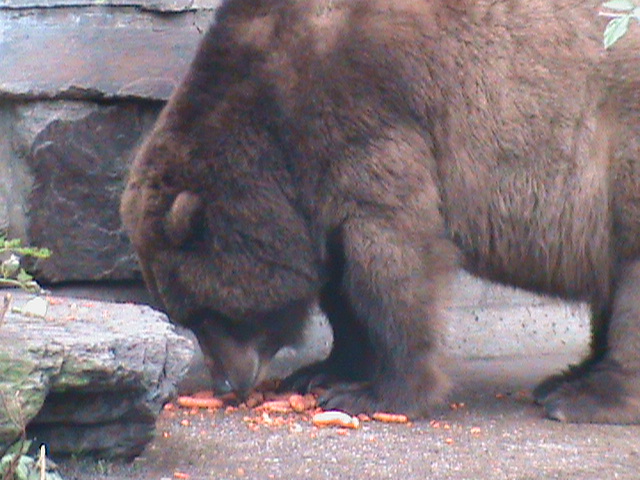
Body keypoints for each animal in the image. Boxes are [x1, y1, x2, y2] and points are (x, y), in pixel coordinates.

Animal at [120, 0, 640, 423]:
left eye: (207, 313)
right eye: (186, 317)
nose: (227, 382)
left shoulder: (371, 115)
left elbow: (392, 259)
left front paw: (379, 392)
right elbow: (339, 280)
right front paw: (322, 371)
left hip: (617, 146)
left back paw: (584, 396)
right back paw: (567, 376)